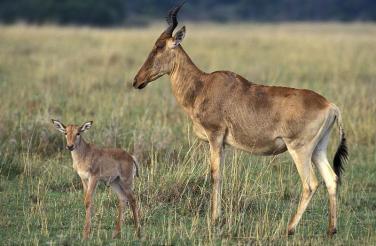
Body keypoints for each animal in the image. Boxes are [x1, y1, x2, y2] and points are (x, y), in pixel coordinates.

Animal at [133, 2, 350, 236]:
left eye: (159, 46)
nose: (137, 81)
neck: (203, 85)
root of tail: (330, 106)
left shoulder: (215, 136)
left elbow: (215, 175)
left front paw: (214, 219)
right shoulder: (223, 143)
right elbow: (220, 174)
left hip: (299, 149)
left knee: (310, 184)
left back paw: (289, 228)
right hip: (318, 149)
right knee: (332, 179)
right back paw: (331, 229)